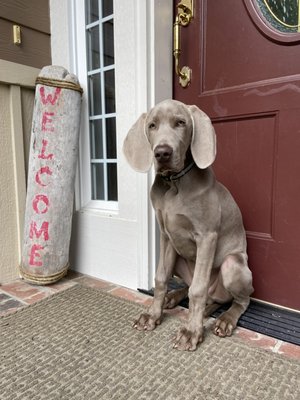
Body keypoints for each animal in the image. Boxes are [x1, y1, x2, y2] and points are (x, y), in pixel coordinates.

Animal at [122, 99, 253, 350]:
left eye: (180, 123)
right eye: (152, 125)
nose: (162, 153)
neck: (175, 184)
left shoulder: (207, 237)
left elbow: (198, 290)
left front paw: (192, 331)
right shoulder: (166, 236)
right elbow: (160, 278)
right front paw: (153, 315)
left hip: (232, 265)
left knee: (240, 299)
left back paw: (225, 319)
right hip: (179, 259)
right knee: (194, 290)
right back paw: (174, 298)